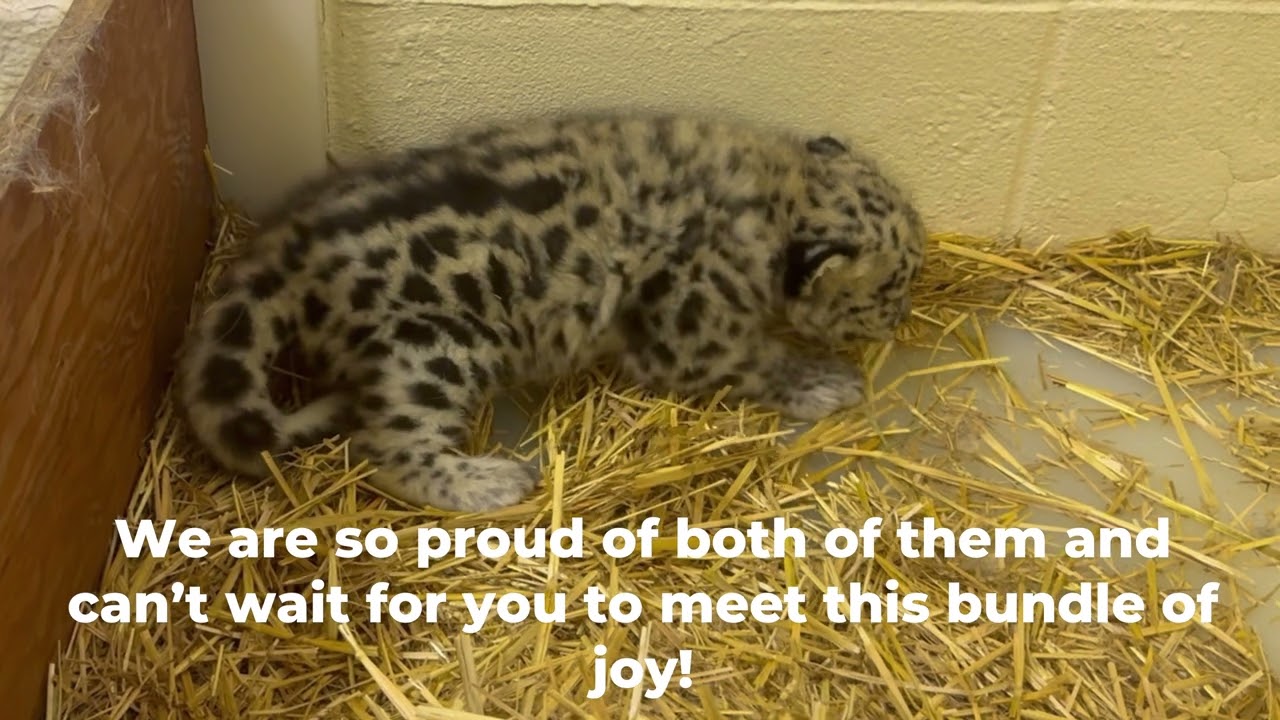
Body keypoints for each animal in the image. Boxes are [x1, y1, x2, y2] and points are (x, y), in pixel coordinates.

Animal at [175, 111, 927, 512]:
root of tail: (289, 241)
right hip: (436, 346)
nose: (900, 320)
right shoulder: (689, 331)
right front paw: (820, 380)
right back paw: (491, 480)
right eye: (892, 288)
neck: (778, 190)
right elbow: (753, 357)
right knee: (386, 446)